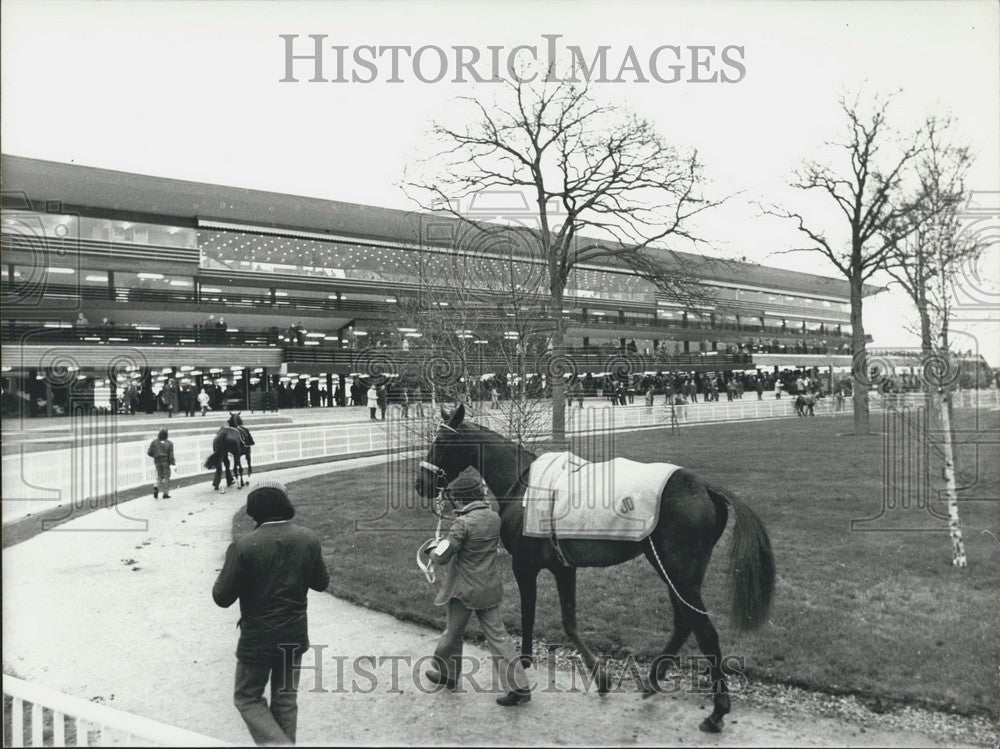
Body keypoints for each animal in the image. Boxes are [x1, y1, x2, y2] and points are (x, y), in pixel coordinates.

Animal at [414, 406, 772, 732]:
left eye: (441, 441)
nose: (421, 483)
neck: (523, 486)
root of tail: (702, 486)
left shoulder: (525, 565)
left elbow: (531, 613)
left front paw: (528, 666)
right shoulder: (563, 568)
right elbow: (569, 620)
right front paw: (599, 677)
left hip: (677, 571)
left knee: (704, 630)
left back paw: (716, 711)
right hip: (675, 572)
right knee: (685, 622)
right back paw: (652, 682)